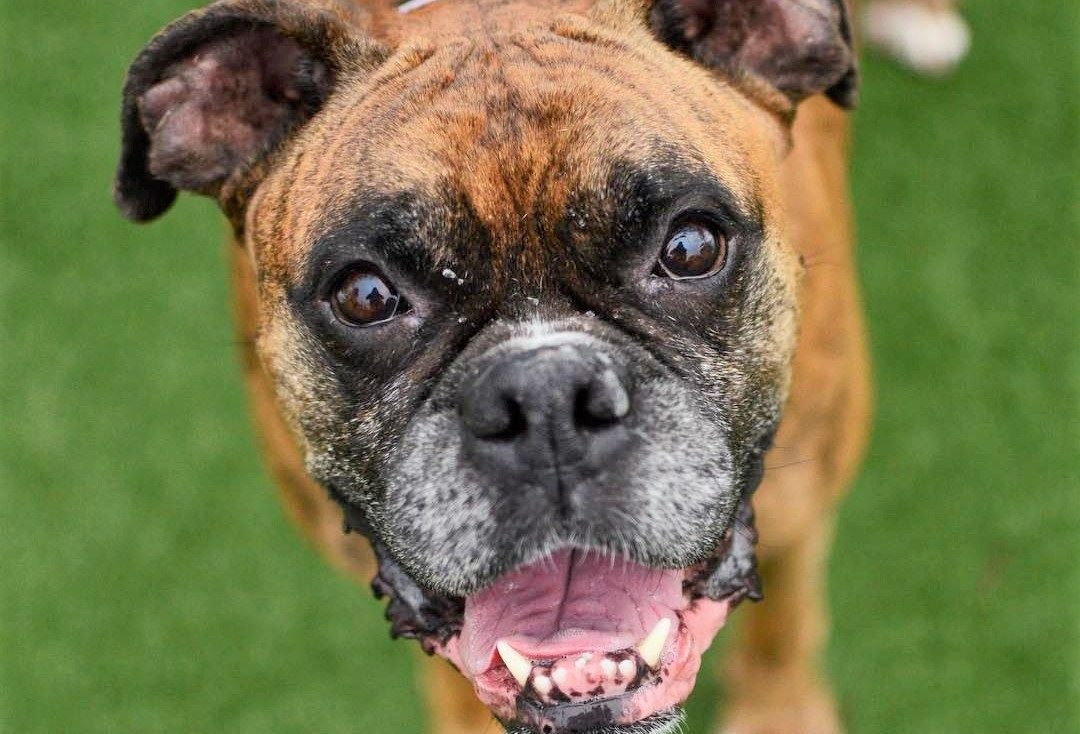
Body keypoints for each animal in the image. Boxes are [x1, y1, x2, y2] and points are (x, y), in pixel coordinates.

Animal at [113, 1, 872, 734]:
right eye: (366, 296)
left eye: (690, 248)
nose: (547, 399)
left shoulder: (801, 515)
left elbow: (786, 620)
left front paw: (781, 711)